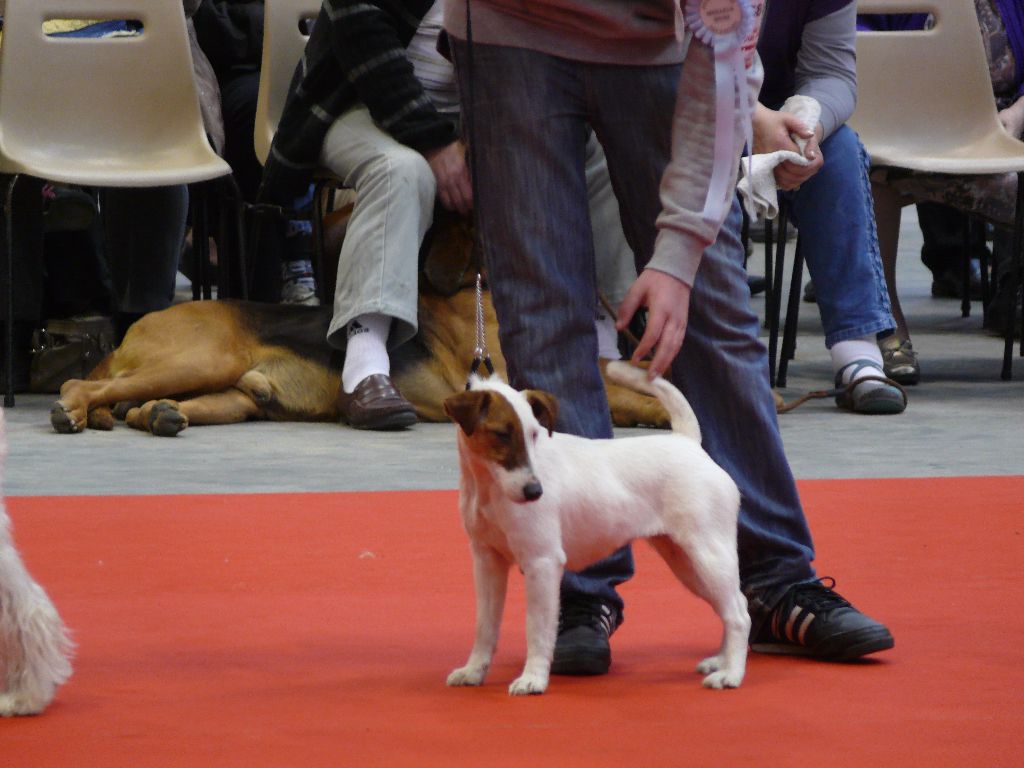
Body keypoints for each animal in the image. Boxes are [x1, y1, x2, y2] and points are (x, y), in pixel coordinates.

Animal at [49, 214, 671, 438]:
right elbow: (622, 391)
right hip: (201, 359)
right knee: (80, 385)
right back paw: (73, 413)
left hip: (235, 395)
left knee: (139, 408)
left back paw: (160, 416)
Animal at [444, 362, 749, 696]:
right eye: (500, 434)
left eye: (535, 434)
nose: (535, 491)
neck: (489, 487)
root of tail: (689, 443)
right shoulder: (487, 561)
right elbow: (485, 627)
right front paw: (474, 670)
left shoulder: (542, 562)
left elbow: (537, 628)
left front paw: (533, 678)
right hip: (687, 564)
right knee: (733, 604)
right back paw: (720, 661)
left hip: (709, 555)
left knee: (738, 615)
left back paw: (731, 674)